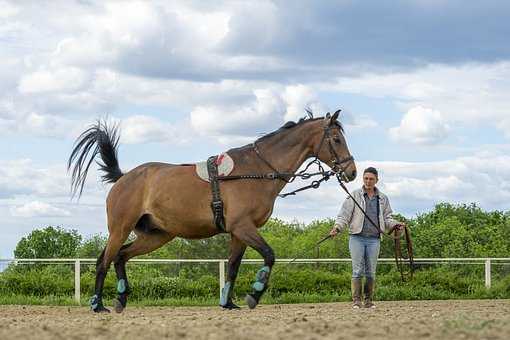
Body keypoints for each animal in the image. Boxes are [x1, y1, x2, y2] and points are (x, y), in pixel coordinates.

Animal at [66, 110, 354, 312]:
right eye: (336, 139)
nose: (351, 172)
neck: (256, 170)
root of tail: (124, 177)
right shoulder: (242, 227)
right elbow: (269, 255)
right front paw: (255, 293)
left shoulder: (238, 233)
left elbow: (233, 266)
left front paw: (228, 302)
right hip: (120, 228)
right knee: (104, 261)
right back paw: (97, 304)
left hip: (156, 235)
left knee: (121, 257)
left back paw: (121, 299)